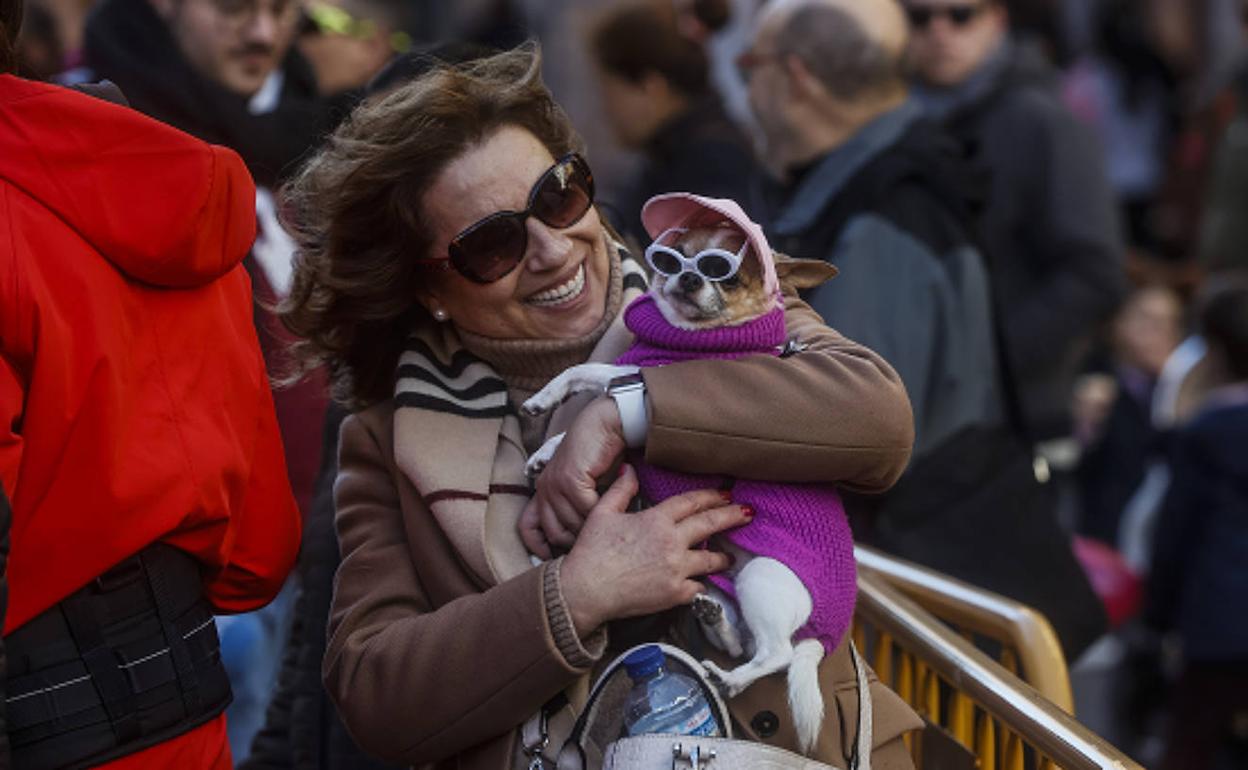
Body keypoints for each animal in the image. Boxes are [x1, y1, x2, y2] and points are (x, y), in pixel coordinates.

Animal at [519, 194, 858, 753]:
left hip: (764, 581)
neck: (688, 339)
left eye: (729, 276)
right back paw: (716, 624)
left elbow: (582, 375)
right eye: (673, 257)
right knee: (746, 640)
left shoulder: (630, 377)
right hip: (730, 581)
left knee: (778, 654)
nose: (691, 277)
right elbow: (575, 422)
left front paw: (545, 402)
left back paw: (730, 678)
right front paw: (547, 452)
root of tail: (823, 636)